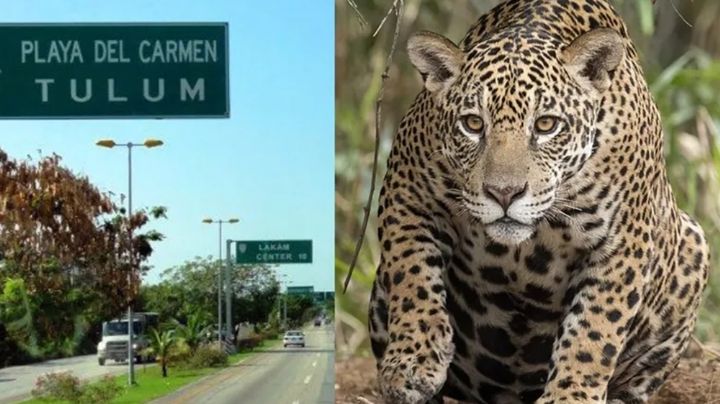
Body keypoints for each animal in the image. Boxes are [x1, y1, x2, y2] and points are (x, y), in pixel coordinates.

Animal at [367, 0, 710, 403]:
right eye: (473, 124)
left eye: (546, 125)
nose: (504, 193)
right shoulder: (407, 192)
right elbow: (412, 276)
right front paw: (412, 361)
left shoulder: (625, 240)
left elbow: (595, 326)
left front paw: (571, 394)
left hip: (693, 245)